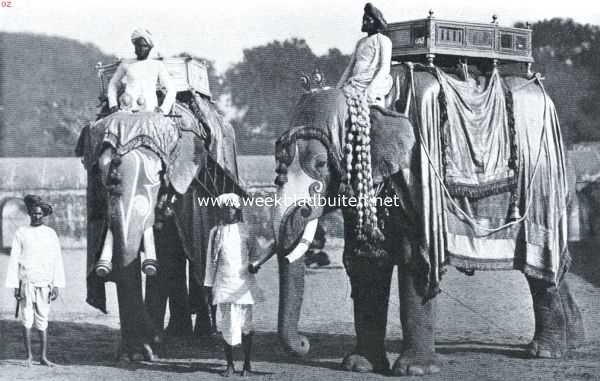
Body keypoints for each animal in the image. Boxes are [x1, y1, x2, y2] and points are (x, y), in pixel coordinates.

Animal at [272, 63, 584, 376]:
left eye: (320, 164)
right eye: (279, 161)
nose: (305, 343)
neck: (374, 102)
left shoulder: (417, 172)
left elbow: (416, 261)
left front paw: (413, 371)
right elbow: (367, 260)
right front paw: (359, 366)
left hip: (543, 185)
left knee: (542, 266)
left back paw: (545, 352)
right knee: (555, 268)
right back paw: (572, 342)